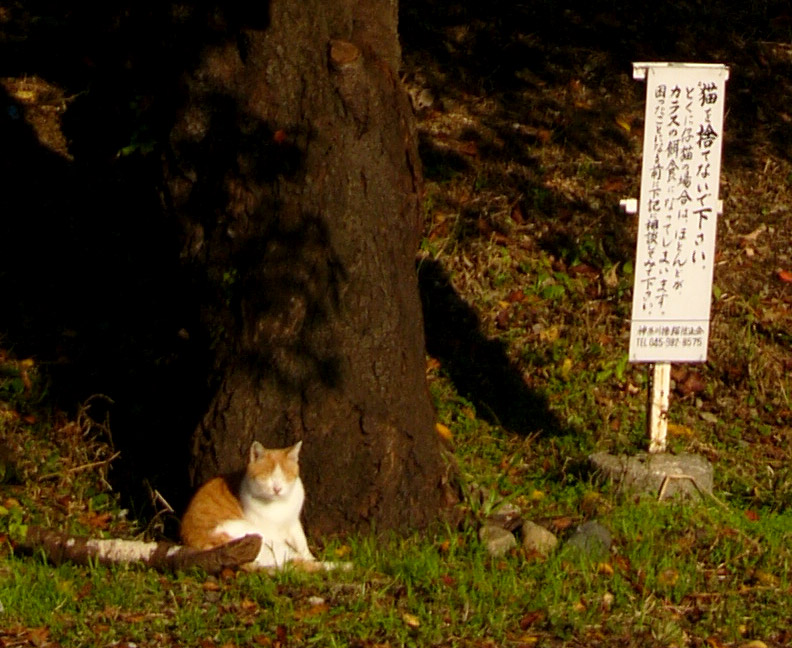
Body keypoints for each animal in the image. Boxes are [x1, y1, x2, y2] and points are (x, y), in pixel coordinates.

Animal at [181, 440, 318, 568]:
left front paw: (309, 556)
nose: (277, 488)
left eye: (285, 476)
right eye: (265, 477)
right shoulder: (269, 531)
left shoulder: (293, 522)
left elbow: (301, 541)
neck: (278, 504)